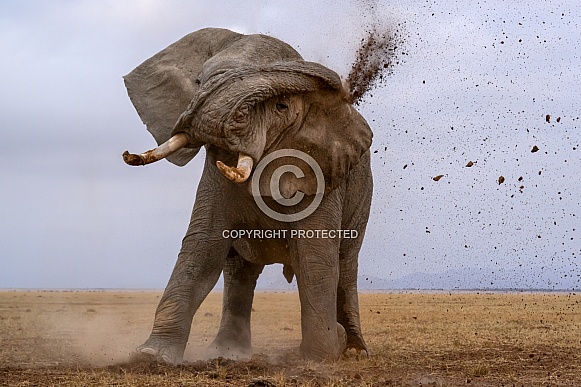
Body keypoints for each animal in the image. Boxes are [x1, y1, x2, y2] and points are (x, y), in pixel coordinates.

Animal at [124, 27, 374, 364]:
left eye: (281, 107)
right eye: (199, 82)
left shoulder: (324, 173)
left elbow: (314, 254)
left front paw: (319, 357)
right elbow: (203, 245)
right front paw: (151, 356)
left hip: (362, 198)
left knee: (346, 263)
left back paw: (354, 350)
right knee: (238, 272)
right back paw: (227, 352)